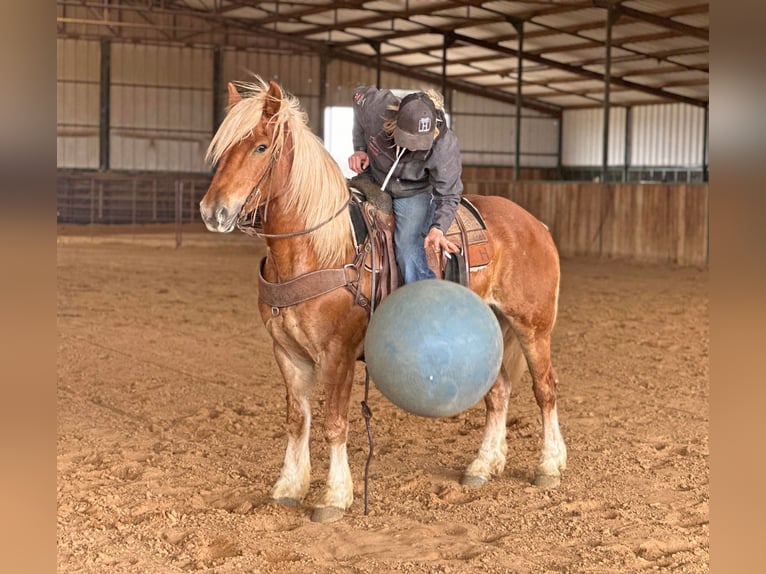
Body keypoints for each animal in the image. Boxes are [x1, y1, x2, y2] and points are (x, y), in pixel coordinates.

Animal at [200, 77, 568, 528]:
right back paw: (483, 465)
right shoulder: (287, 352)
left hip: (533, 326)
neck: (321, 248)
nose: (213, 211)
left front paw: (334, 496)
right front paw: (288, 486)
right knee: (498, 393)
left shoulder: (337, 354)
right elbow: (296, 420)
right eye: (223, 147)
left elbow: (334, 423)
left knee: (545, 388)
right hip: (493, 330)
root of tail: (537, 225)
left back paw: (548, 465)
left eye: (261, 147)